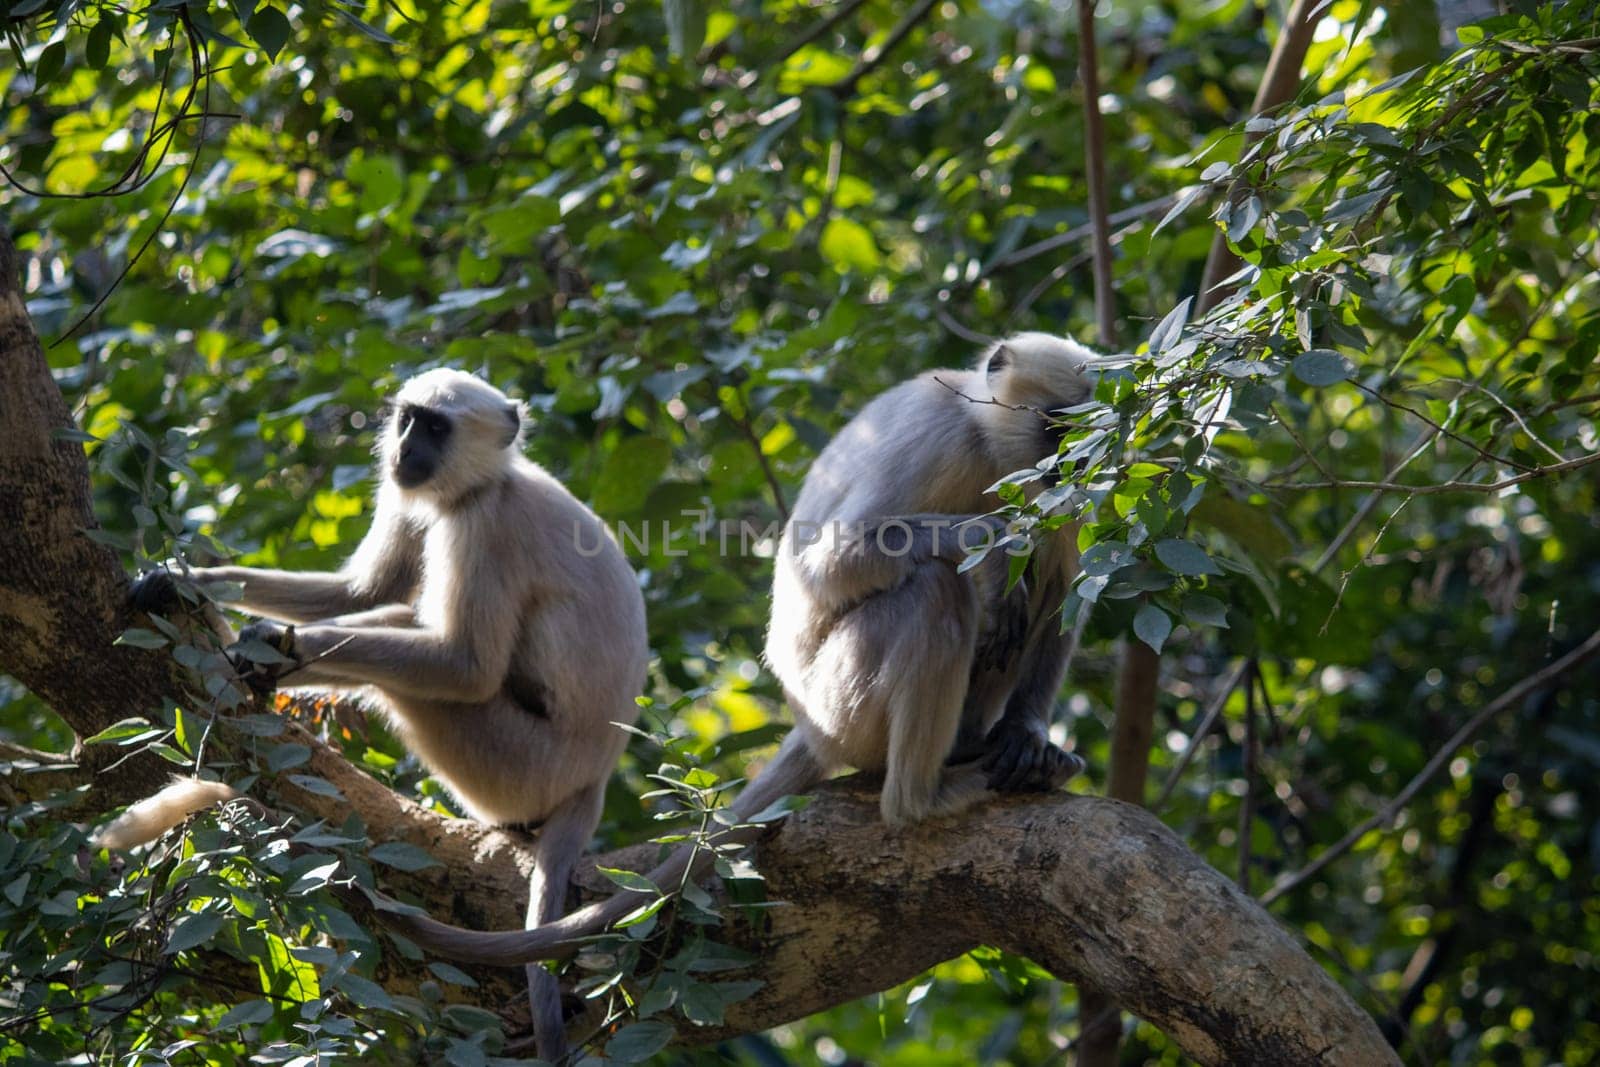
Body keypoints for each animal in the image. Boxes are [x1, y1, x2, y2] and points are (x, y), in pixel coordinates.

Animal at [96, 364, 646, 1062]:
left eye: (436, 428)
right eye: (409, 419)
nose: (406, 447)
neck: (486, 481)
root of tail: (594, 776)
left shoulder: (484, 525)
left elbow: (466, 669)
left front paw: (270, 643)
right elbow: (360, 592)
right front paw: (185, 582)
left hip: (515, 765)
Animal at [387, 335, 1107, 979]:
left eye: (1082, 440)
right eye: (1054, 428)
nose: (1066, 464)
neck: (989, 444)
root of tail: (811, 728)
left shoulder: (1057, 496)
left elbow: (1064, 590)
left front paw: (1027, 735)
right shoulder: (940, 436)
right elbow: (830, 567)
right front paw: (991, 543)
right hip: (847, 700)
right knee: (936, 587)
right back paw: (921, 796)